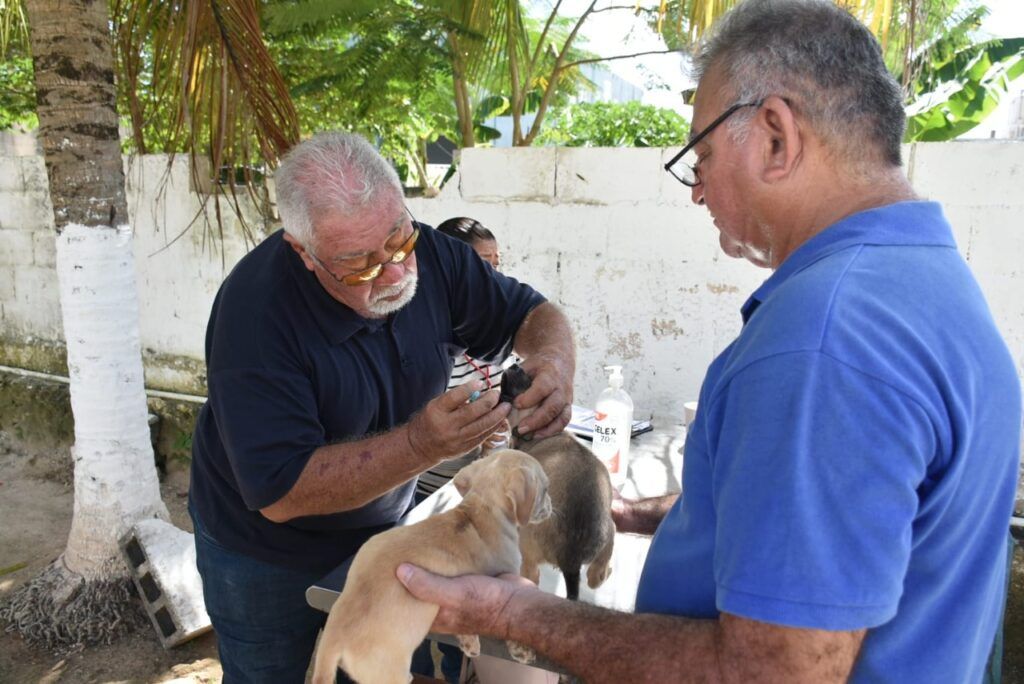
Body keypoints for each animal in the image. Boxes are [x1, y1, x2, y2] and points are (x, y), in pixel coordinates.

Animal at [309, 448, 552, 684]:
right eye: (546, 489)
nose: (552, 507)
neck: (480, 509)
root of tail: (333, 638)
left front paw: (469, 644)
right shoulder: (505, 574)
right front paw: (520, 651)